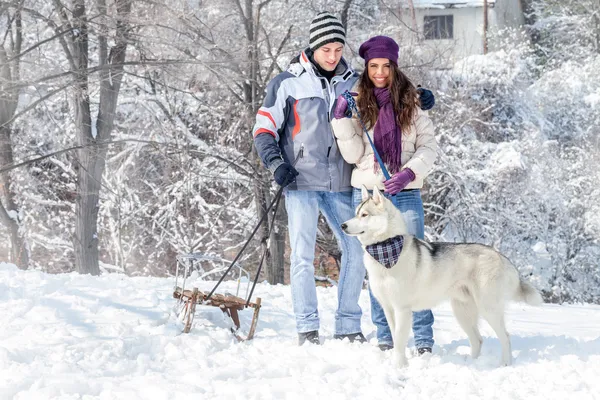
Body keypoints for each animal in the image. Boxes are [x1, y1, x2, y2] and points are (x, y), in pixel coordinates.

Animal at [342, 186, 544, 368]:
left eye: (364, 215)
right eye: (355, 213)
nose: (343, 225)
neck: (385, 250)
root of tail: (500, 256)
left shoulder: (402, 309)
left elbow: (399, 340)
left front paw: (398, 366)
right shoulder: (388, 308)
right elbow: (396, 338)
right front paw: (401, 362)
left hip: (489, 309)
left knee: (506, 337)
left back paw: (505, 364)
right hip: (462, 312)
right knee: (477, 340)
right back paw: (473, 363)